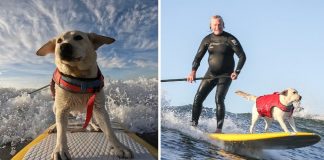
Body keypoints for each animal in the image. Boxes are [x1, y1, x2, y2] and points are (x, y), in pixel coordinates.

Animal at [37, 30, 133, 159]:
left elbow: (109, 130)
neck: (79, 77)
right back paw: (54, 127)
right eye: (59, 41)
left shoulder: (99, 107)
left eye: (78, 37)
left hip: (90, 107)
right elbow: (61, 131)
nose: (64, 46)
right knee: (57, 119)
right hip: (55, 106)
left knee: (91, 118)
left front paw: (119, 147)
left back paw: (94, 125)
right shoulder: (61, 109)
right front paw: (60, 149)